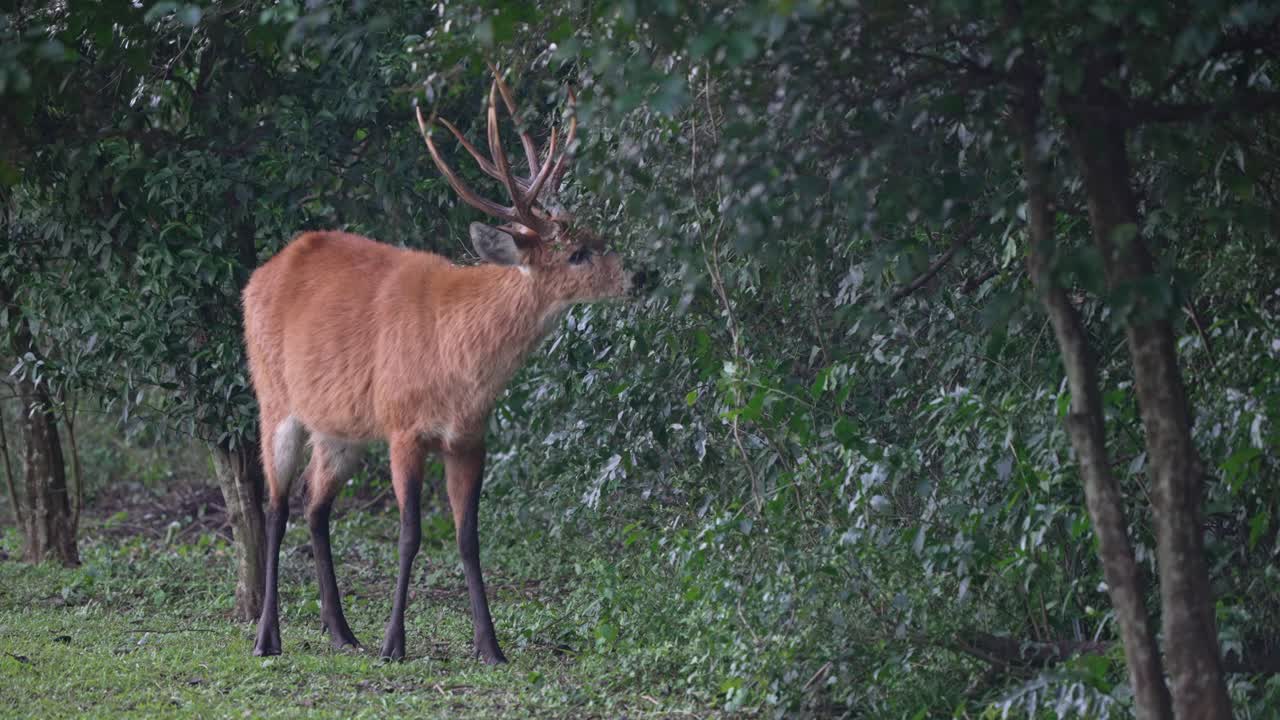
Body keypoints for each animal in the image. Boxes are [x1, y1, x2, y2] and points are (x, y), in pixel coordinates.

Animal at [241, 65, 640, 664]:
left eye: (598, 235)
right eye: (577, 253)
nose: (643, 276)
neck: (459, 361)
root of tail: (258, 276)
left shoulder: (469, 437)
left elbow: (468, 537)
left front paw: (490, 647)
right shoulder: (404, 427)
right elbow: (409, 534)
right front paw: (394, 644)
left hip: (342, 429)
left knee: (315, 504)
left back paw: (341, 631)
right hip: (275, 398)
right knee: (276, 505)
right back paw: (268, 637)